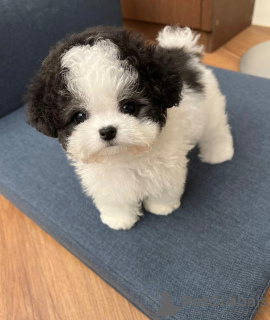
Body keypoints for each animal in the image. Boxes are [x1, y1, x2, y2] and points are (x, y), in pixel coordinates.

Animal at [26, 25, 234, 230]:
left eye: (129, 106)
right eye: (79, 116)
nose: (107, 131)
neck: (125, 156)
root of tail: (181, 50)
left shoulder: (168, 163)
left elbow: (165, 185)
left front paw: (162, 206)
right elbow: (115, 196)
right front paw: (119, 218)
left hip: (210, 105)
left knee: (215, 130)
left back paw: (219, 152)